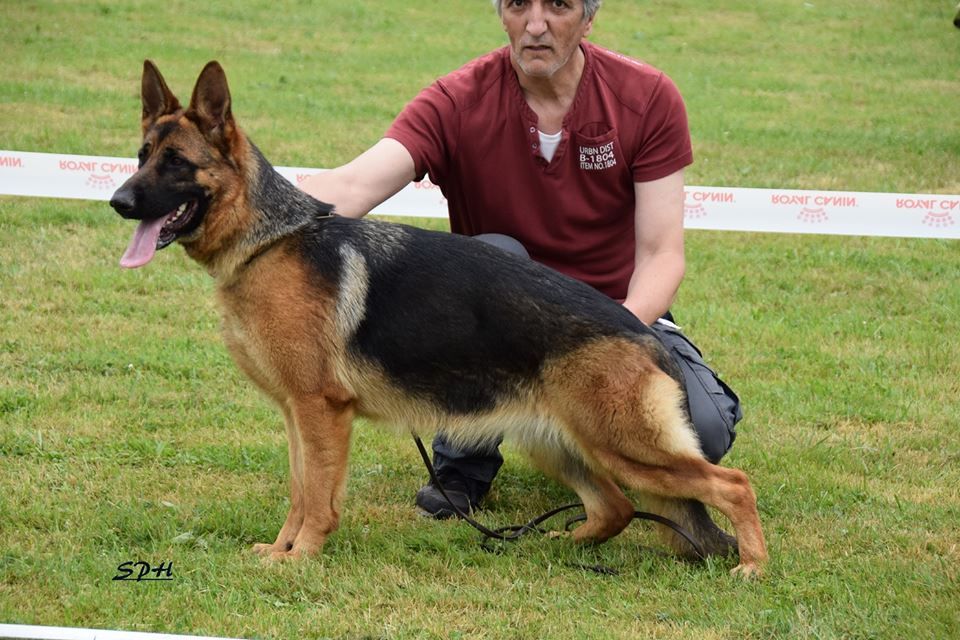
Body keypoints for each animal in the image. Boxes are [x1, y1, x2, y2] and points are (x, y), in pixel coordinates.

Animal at [110, 61, 764, 580]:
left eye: (176, 164)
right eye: (141, 158)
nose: (116, 202)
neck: (271, 239)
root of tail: (645, 337)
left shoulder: (321, 412)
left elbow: (317, 497)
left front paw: (301, 558)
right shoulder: (297, 414)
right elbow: (299, 490)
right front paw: (281, 550)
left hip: (625, 447)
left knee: (732, 484)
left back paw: (751, 566)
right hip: (557, 442)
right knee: (615, 508)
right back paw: (549, 545)